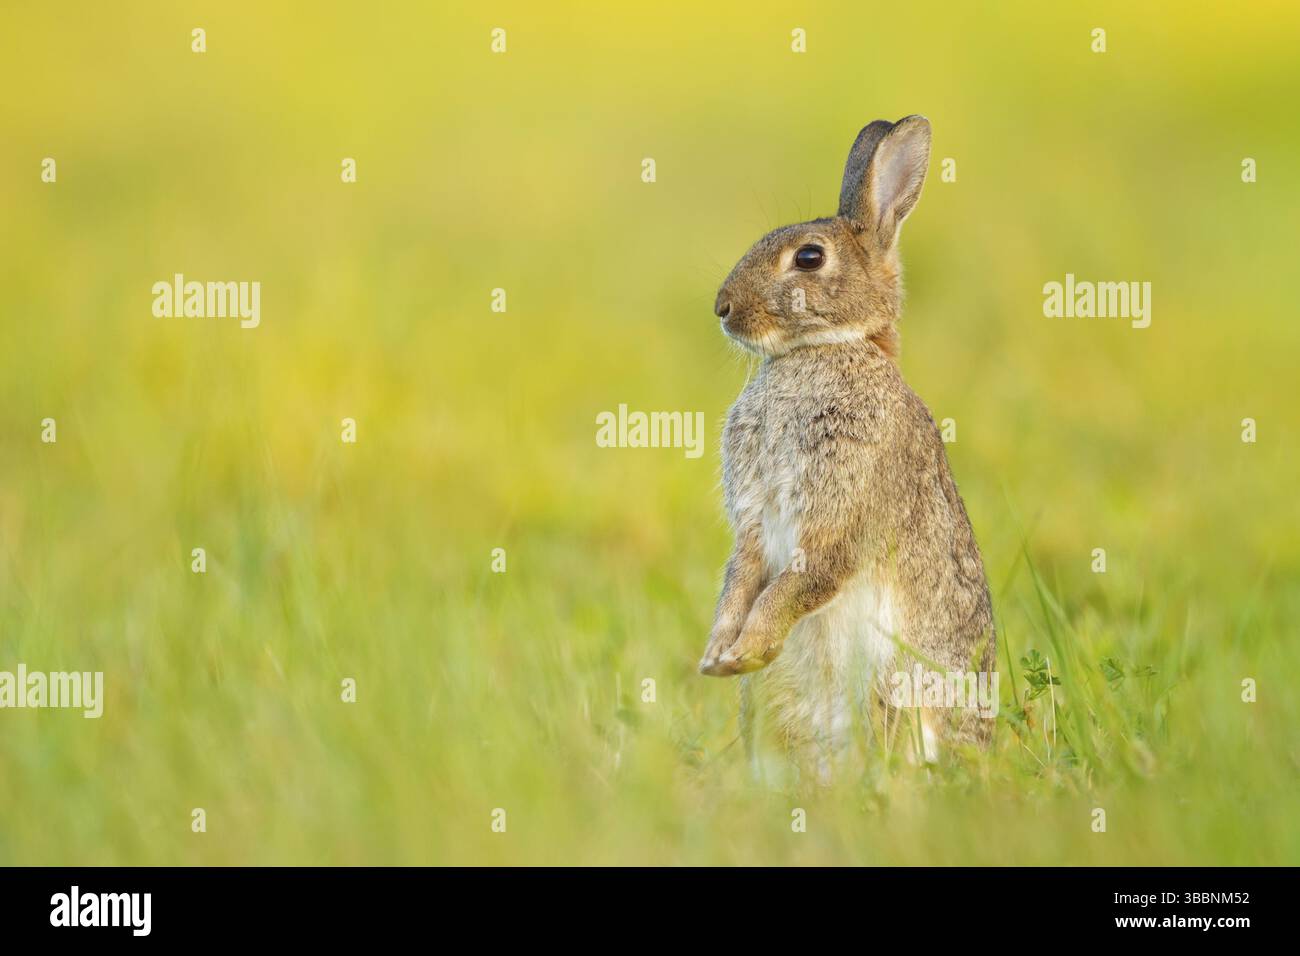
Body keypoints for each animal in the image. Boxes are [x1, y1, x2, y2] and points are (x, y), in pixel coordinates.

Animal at [697, 116, 996, 771]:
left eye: (809, 257)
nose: (723, 308)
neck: (826, 349)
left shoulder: (840, 515)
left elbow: (797, 582)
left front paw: (746, 650)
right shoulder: (754, 523)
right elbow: (740, 579)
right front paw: (719, 657)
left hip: (893, 684)